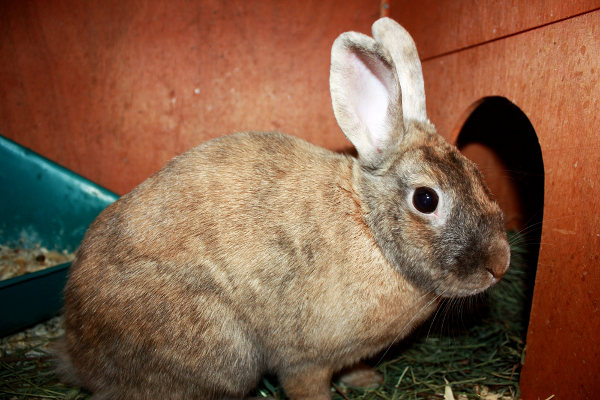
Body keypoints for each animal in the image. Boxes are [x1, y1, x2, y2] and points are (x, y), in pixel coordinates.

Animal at [56, 18, 508, 400]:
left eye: (476, 172)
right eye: (426, 200)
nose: (500, 265)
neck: (371, 230)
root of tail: (78, 351)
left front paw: (367, 379)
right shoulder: (305, 360)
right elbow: (307, 386)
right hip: (225, 352)